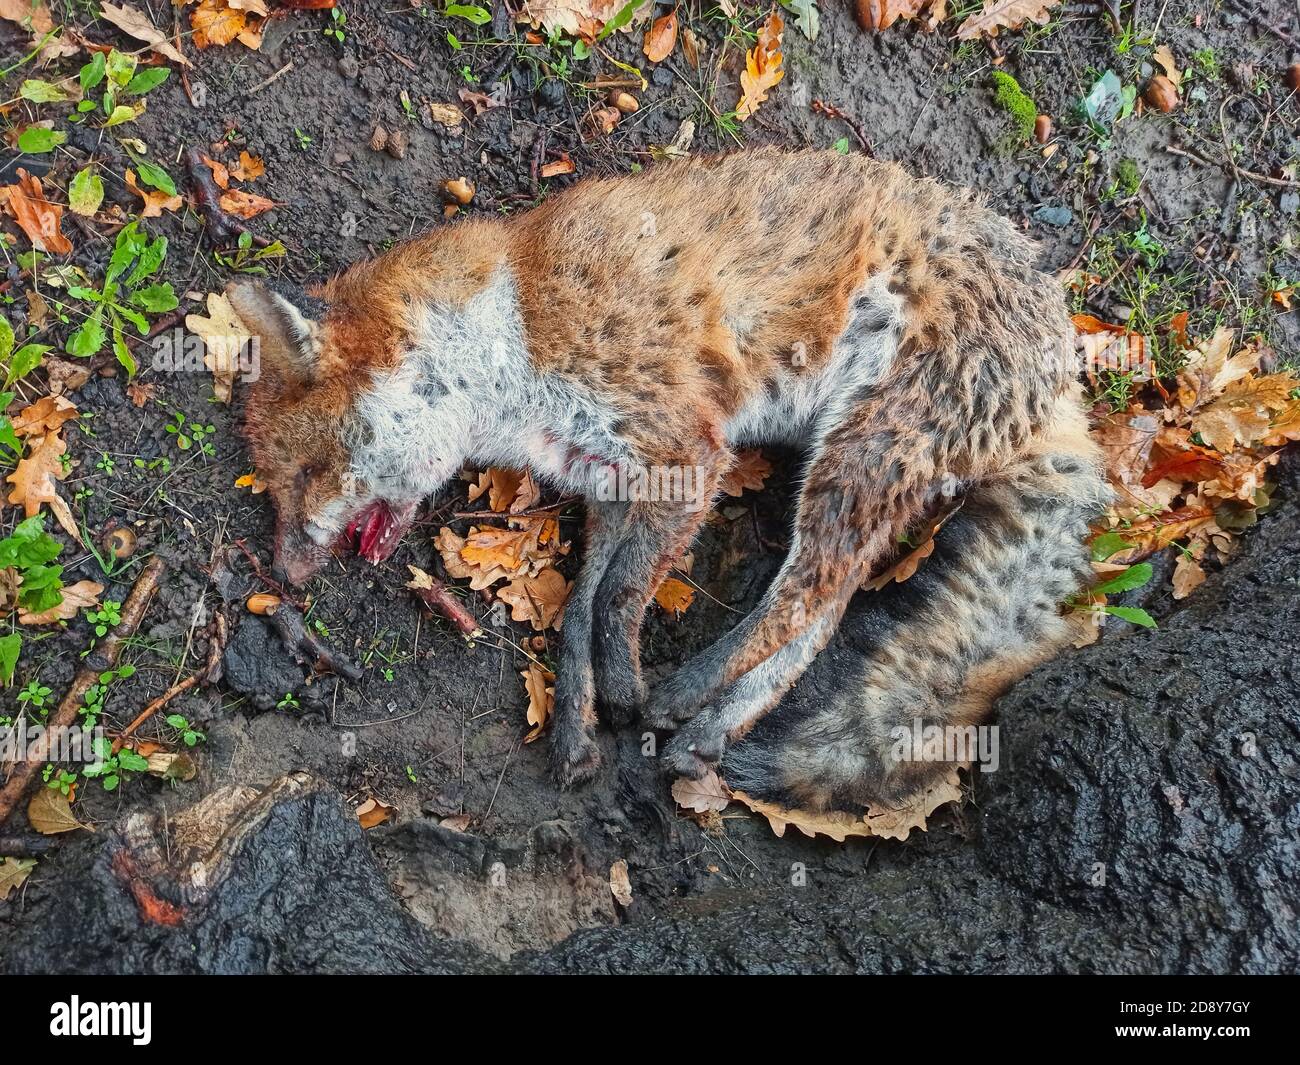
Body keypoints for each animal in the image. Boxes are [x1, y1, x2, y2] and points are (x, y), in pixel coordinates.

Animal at [232, 147, 1108, 810]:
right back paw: (710, 732)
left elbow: (618, 597)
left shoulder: (688, 450)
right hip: (862, 474)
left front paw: (623, 688)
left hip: (859, 456)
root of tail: (1064, 365)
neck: (511, 331)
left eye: (305, 472)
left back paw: (684, 695)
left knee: (800, 604)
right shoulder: (612, 480)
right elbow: (579, 611)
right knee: (820, 617)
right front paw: (579, 726)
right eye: (275, 488)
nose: (283, 571)